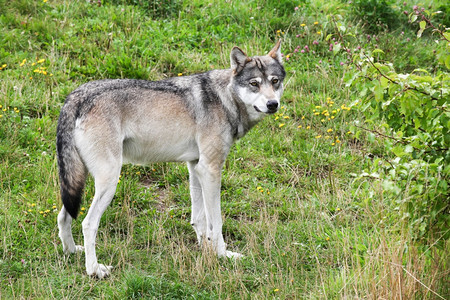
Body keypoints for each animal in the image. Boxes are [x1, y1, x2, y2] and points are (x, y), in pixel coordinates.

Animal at [56, 40, 284, 278]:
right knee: (88, 224)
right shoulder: (210, 169)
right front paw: (223, 255)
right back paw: (94, 270)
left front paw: (206, 250)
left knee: (63, 216)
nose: (272, 104)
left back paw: (71, 251)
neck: (225, 98)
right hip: (109, 182)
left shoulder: (196, 167)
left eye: (274, 81)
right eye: (254, 84)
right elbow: (216, 222)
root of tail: (75, 97)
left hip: (79, 183)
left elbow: (200, 219)